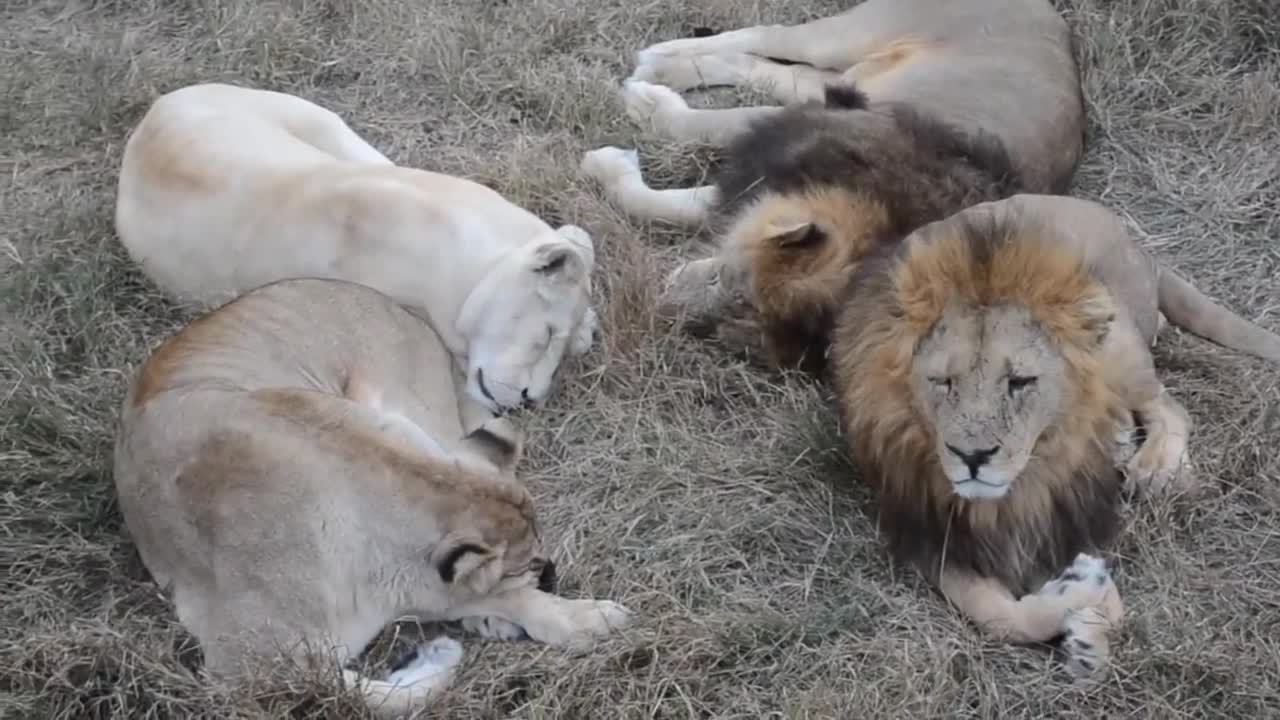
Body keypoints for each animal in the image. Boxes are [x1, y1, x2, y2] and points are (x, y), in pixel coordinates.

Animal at [113, 277, 631, 718]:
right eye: (530, 562)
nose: (552, 573)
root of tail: (398, 306)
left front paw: (574, 619)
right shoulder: (239, 665)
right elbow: (380, 697)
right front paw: (448, 650)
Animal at [580, 0, 1083, 370]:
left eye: (735, 300)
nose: (668, 294)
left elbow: (676, 205)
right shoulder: (806, 128)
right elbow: (705, 127)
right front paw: (641, 114)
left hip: (838, 75)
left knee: (775, 69)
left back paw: (670, 69)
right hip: (850, 36)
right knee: (766, 34)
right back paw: (659, 59)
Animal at [829, 194, 1280, 677]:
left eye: (1020, 382)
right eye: (942, 382)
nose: (972, 457)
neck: (1020, 488)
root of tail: (1134, 242)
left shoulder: (1065, 510)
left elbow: (1105, 599)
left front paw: (1091, 624)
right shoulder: (932, 535)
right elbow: (1003, 618)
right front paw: (1078, 612)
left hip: (1113, 334)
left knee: (1170, 406)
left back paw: (1154, 466)